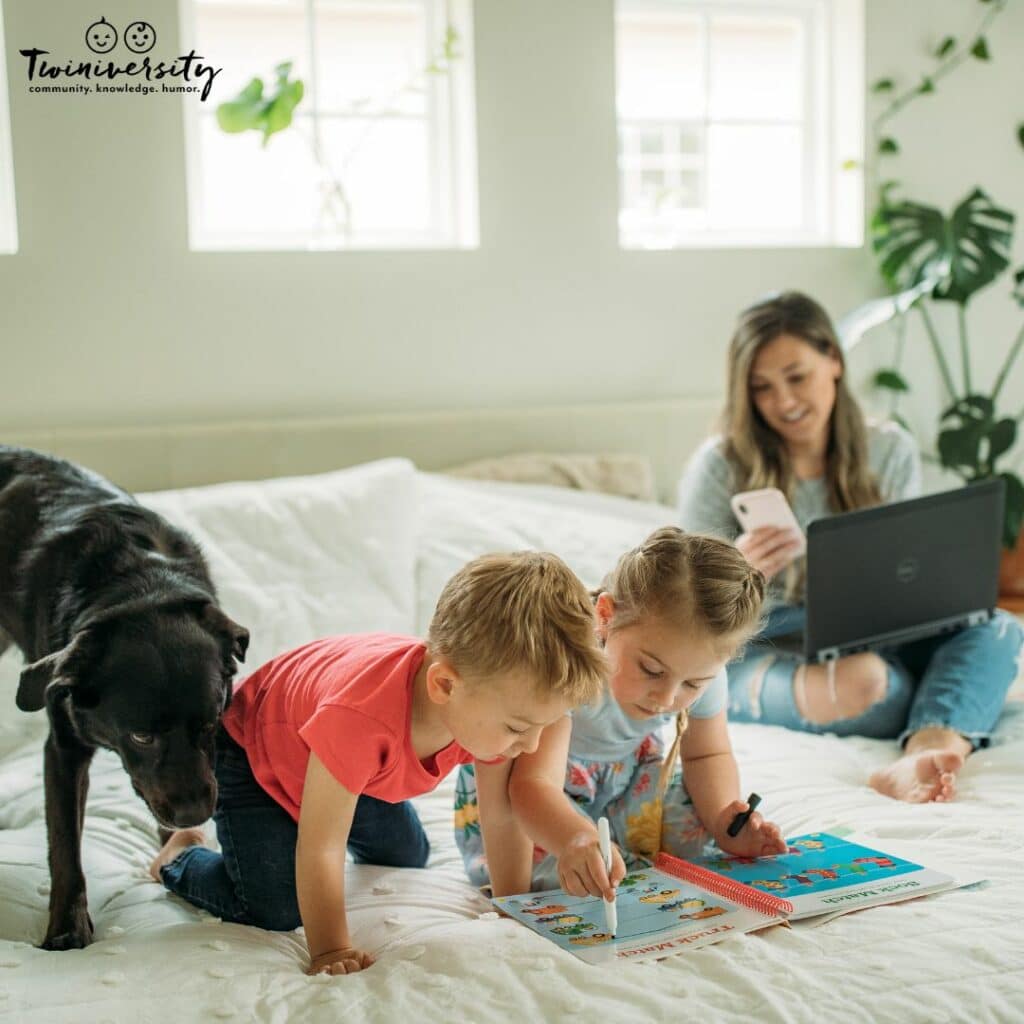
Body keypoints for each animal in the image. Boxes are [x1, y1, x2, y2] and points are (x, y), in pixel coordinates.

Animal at [0, 448, 247, 950]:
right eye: (141, 737)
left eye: (211, 723)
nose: (195, 813)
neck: (142, 586)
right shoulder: (63, 748)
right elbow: (64, 846)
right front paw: (66, 930)